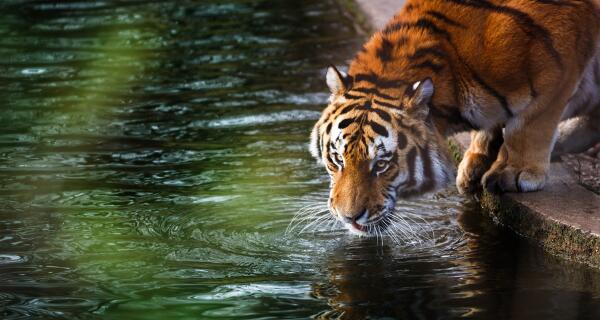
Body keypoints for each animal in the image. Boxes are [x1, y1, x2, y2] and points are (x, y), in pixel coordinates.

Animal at [310, 0, 600, 235]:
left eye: (381, 164)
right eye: (337, 159)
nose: (349, 218)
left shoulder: (558, 70)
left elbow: (529, 125)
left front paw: (514, 171)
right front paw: (476, 162)